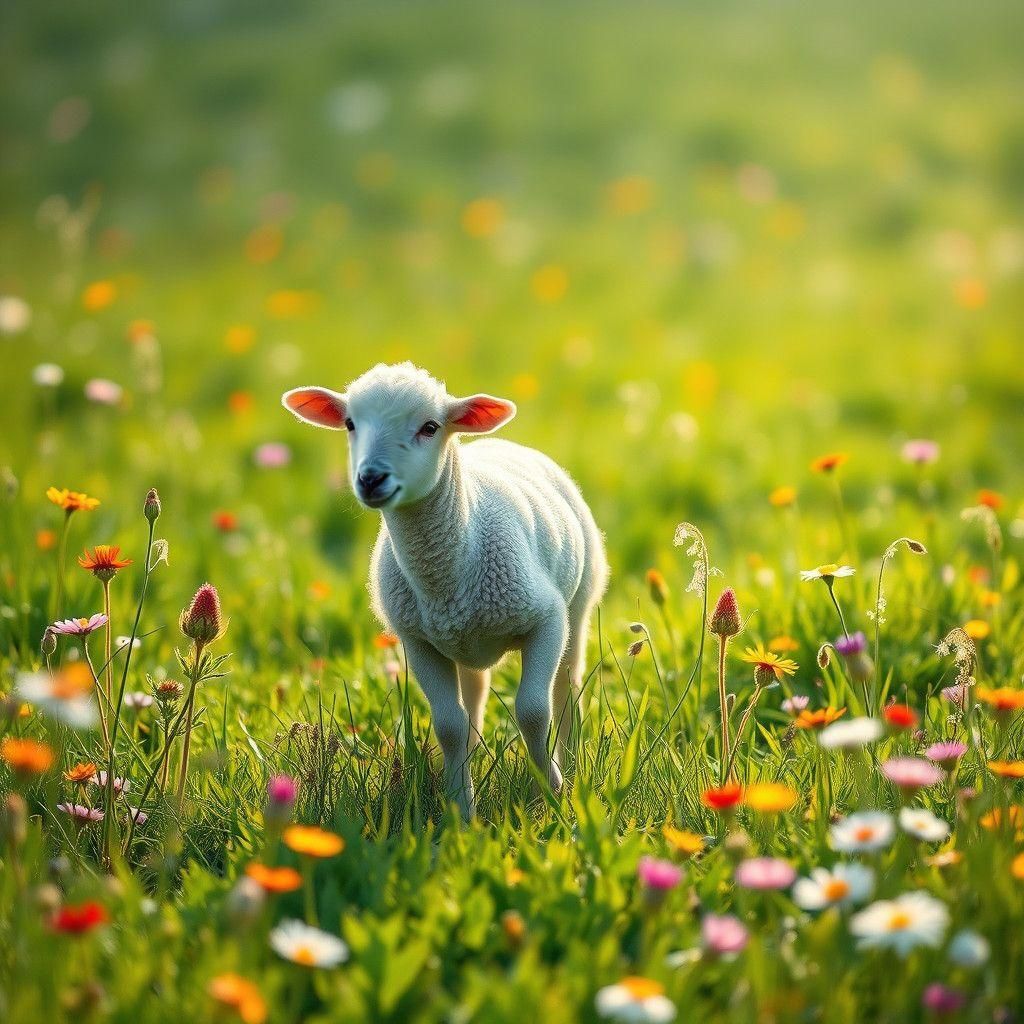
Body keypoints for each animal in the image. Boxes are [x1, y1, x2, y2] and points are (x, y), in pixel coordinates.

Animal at [282, 362, 608, 817]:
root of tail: (500, 443)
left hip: (578, 606)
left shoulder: (547, 619)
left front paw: (552, 792)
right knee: (474, 697)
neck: (445, 577)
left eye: (430, 427)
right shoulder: (417, 640)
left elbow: (533, 711)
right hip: (467, 639)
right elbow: (449, 725)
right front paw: (460, 807)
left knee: (568, 685)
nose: (371, 478)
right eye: (349, 424)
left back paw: (573, 759)